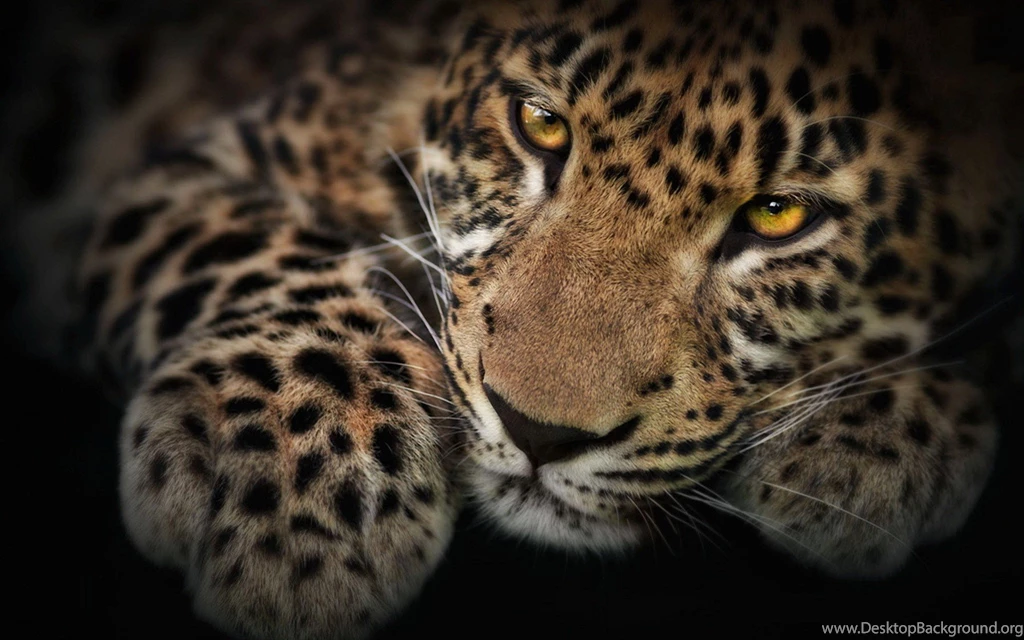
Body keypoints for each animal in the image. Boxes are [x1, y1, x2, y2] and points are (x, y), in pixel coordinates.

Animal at [3, 0, 1022, 638]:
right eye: (538, 124)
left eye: (778, 215)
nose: (539, 434)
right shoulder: (177, 175)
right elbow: (258, 246)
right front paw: (298, 501)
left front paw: (880, 438)